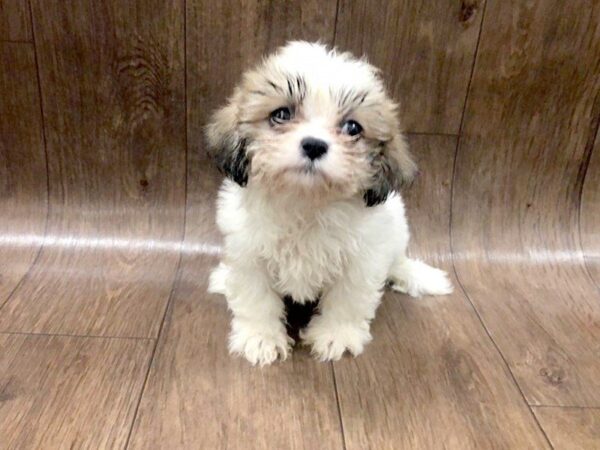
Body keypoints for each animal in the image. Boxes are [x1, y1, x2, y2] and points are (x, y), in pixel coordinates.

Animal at [205, 41, 450, 366]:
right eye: (281, 114)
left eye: (352, 128)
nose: (314, 145)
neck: (306, 202)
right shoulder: (248, 252)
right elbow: (255, 297)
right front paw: (260, 337)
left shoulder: (363, 259)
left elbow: (349, 298)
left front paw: (336, 335)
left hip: (397, 231)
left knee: (396, 261)